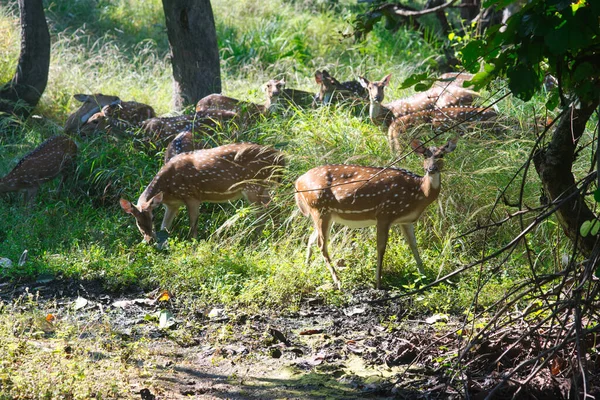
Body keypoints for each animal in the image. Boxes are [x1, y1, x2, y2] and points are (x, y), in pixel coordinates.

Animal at [120, 144, 286, 244]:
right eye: (137, 221)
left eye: (152, 216)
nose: (150, 240)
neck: (168, 190)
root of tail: (280, 158)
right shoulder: (172, 205)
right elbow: (165, 227)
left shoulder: (192, 196)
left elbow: (193, 225)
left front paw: (194, 244)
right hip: (264, 188)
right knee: (275, 210)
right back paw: (276, 236)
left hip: (253, 186)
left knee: (262, 216)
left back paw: (254, 240)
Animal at [292, 139, 458, 290]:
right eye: (425, 154)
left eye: (441, 154)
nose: (431, 168)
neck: (420, 192)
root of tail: (298, 182)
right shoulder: (385, 213)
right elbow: (381, 247)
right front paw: (378, 282)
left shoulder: (405, 220)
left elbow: (413, 245)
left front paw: (424, 276)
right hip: (319, 209)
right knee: (321, 244)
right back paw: (338, 282)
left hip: (325, 214)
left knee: (311, 239)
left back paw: (306, 270)